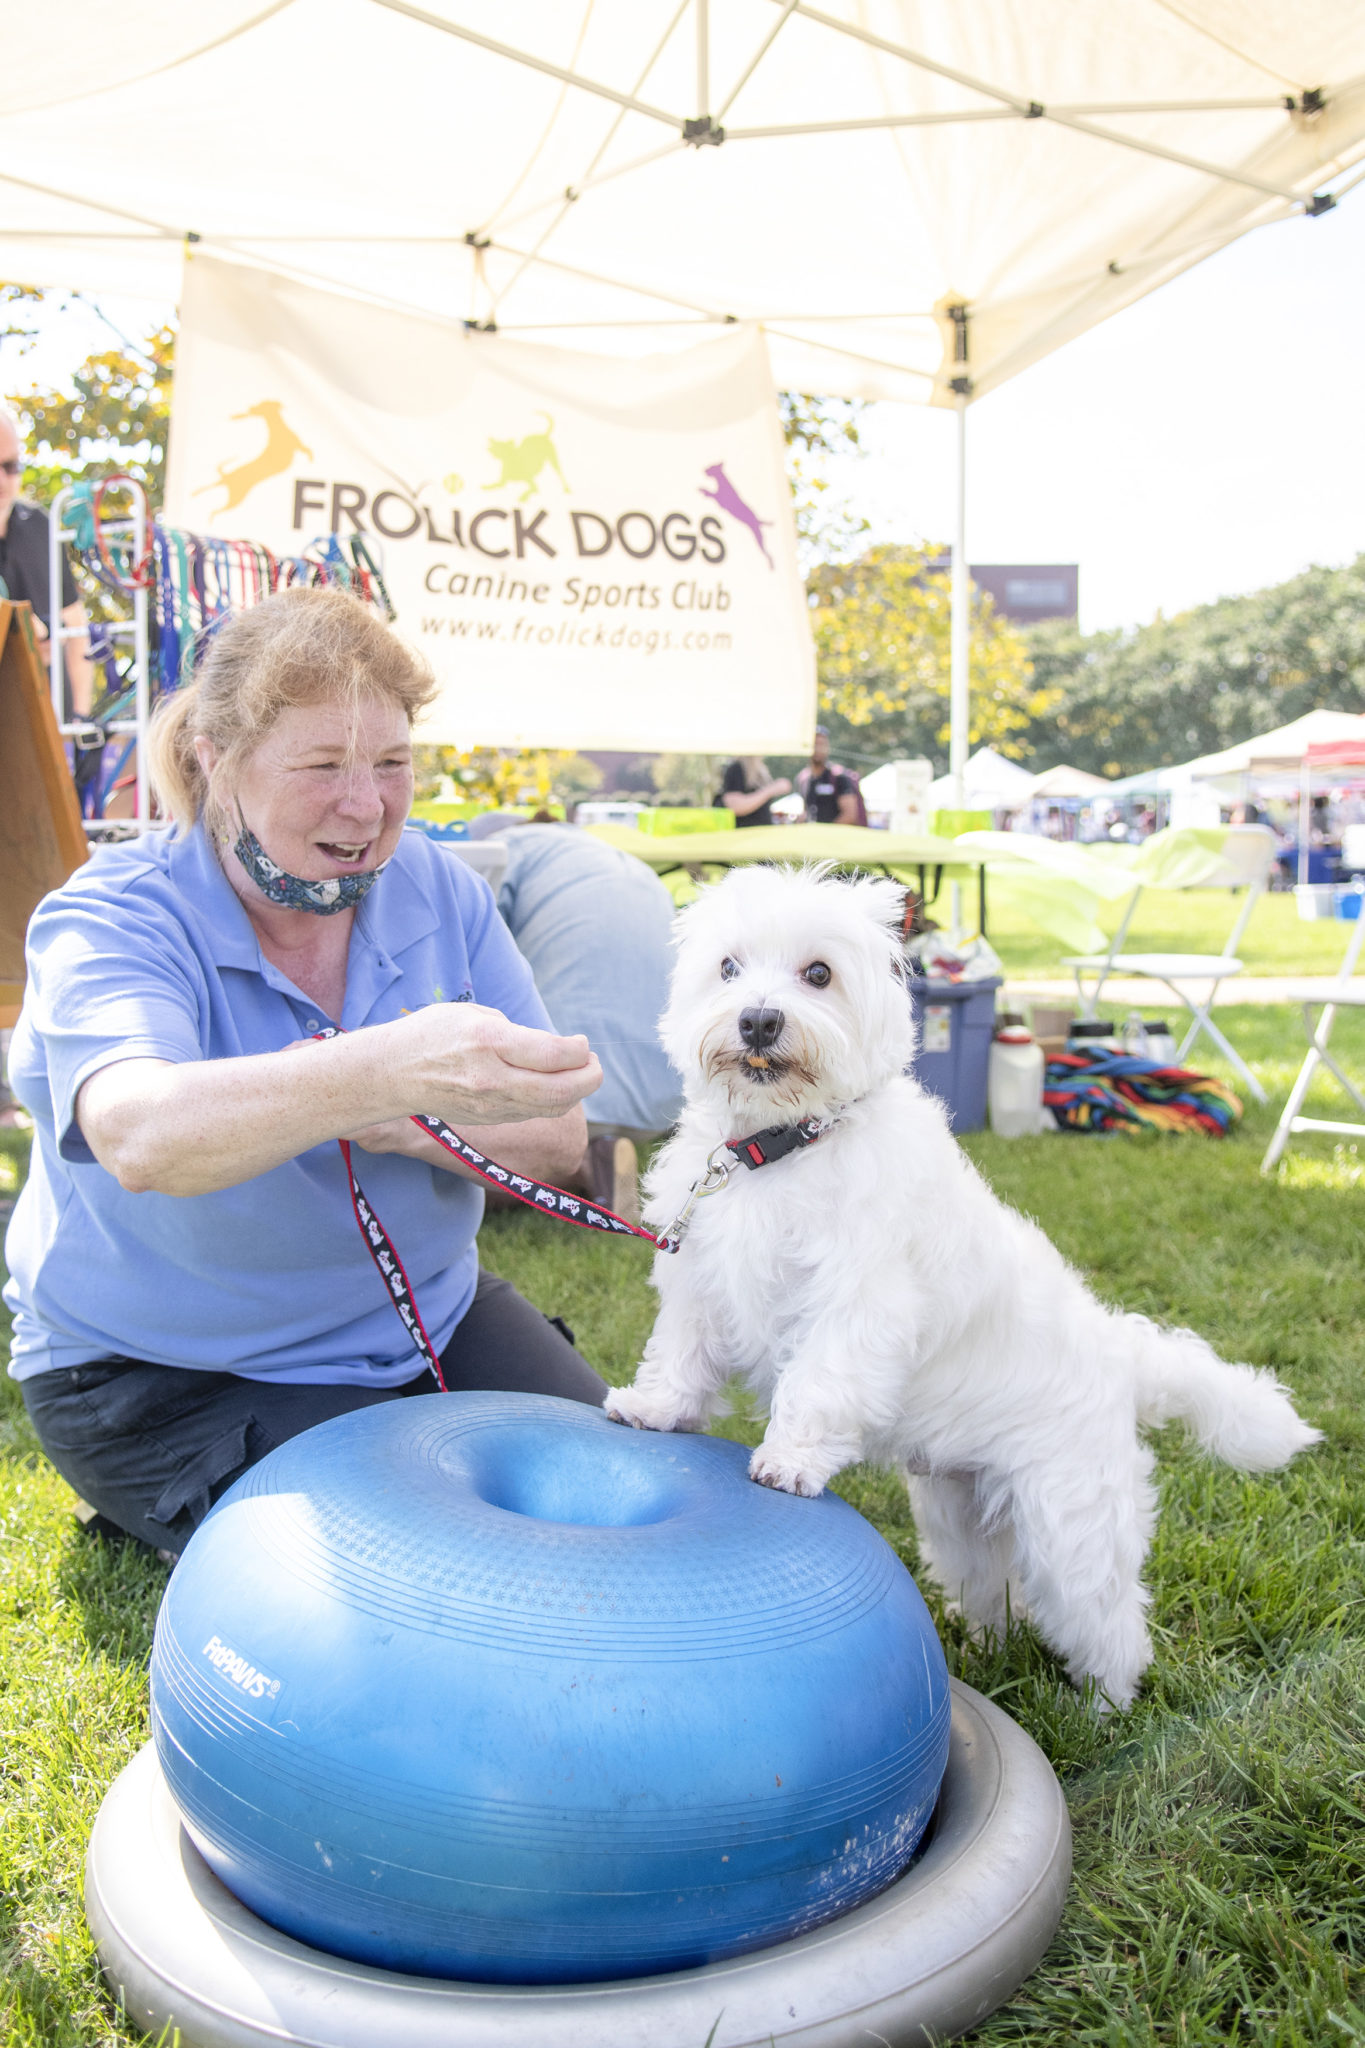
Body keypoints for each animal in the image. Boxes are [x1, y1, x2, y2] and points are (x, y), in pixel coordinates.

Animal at [609, 864, 1326, 1712]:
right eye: (726, 967)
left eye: (817, 973)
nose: (756, 1021)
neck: (777, 1150)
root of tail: (1119, 1353)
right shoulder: (701, 1282)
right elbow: (680, 1357)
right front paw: (652, 1410)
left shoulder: (855, 1307)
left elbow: (815, 1389)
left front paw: (786, 1463)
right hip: (961, 1514)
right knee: (997, 1596)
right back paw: (985, 1654)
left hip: (1069, 1522)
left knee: (1109, 1622)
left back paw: (1101, 1708)